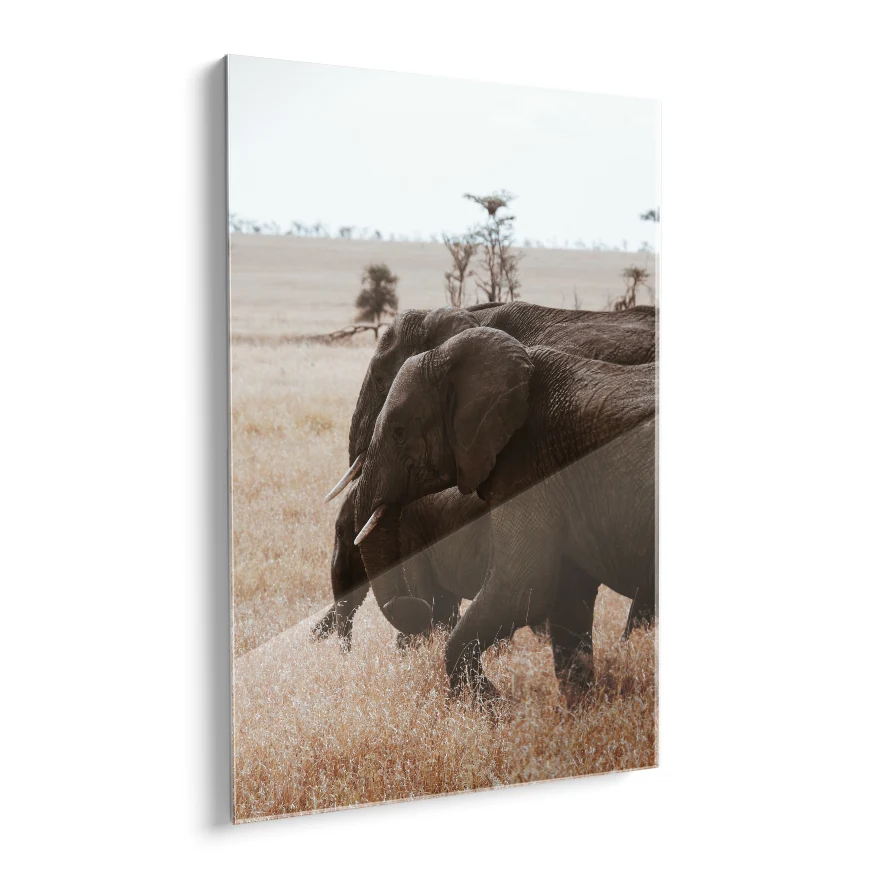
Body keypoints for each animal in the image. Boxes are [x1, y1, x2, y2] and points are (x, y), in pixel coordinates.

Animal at [352, 326, 656, 703]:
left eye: (398, 433)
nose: (414, 606)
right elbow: (566, 600)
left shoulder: (531, 465)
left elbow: (524, 587)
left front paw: (492, 707)